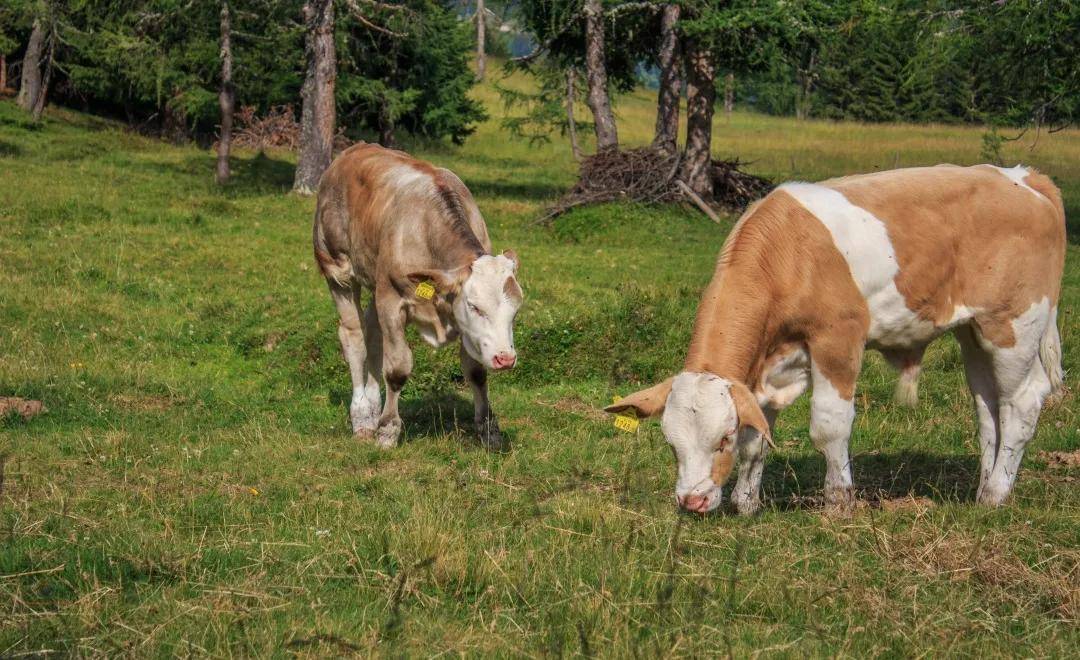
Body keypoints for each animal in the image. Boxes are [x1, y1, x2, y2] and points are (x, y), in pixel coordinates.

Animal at [313, 143, 522, 449]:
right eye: (474, 306)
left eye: (515, 311)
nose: (505, 358)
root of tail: (353, 150)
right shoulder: (391, 300)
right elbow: (397, 368)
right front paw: (387, 431)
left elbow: (476, 372)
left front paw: (489, 432)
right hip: (337, 270)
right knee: (354, 336)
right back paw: (362, 418)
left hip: (375, 281)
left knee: (373, 333)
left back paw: (373, 407)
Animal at [604, 164, 1067, 512]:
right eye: (670, 443)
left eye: (722, 439)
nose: (692, 502)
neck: (788, 256)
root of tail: (1023, 177)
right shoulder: (769, 366)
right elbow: (759, 436)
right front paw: (747, 503)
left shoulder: (838, 340)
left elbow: (829, 427)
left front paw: (838, 502)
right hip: (973, 332)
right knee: (988, 407)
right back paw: (983, 487)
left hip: (1013, 325)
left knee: (1022, 402)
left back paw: (996, 494)